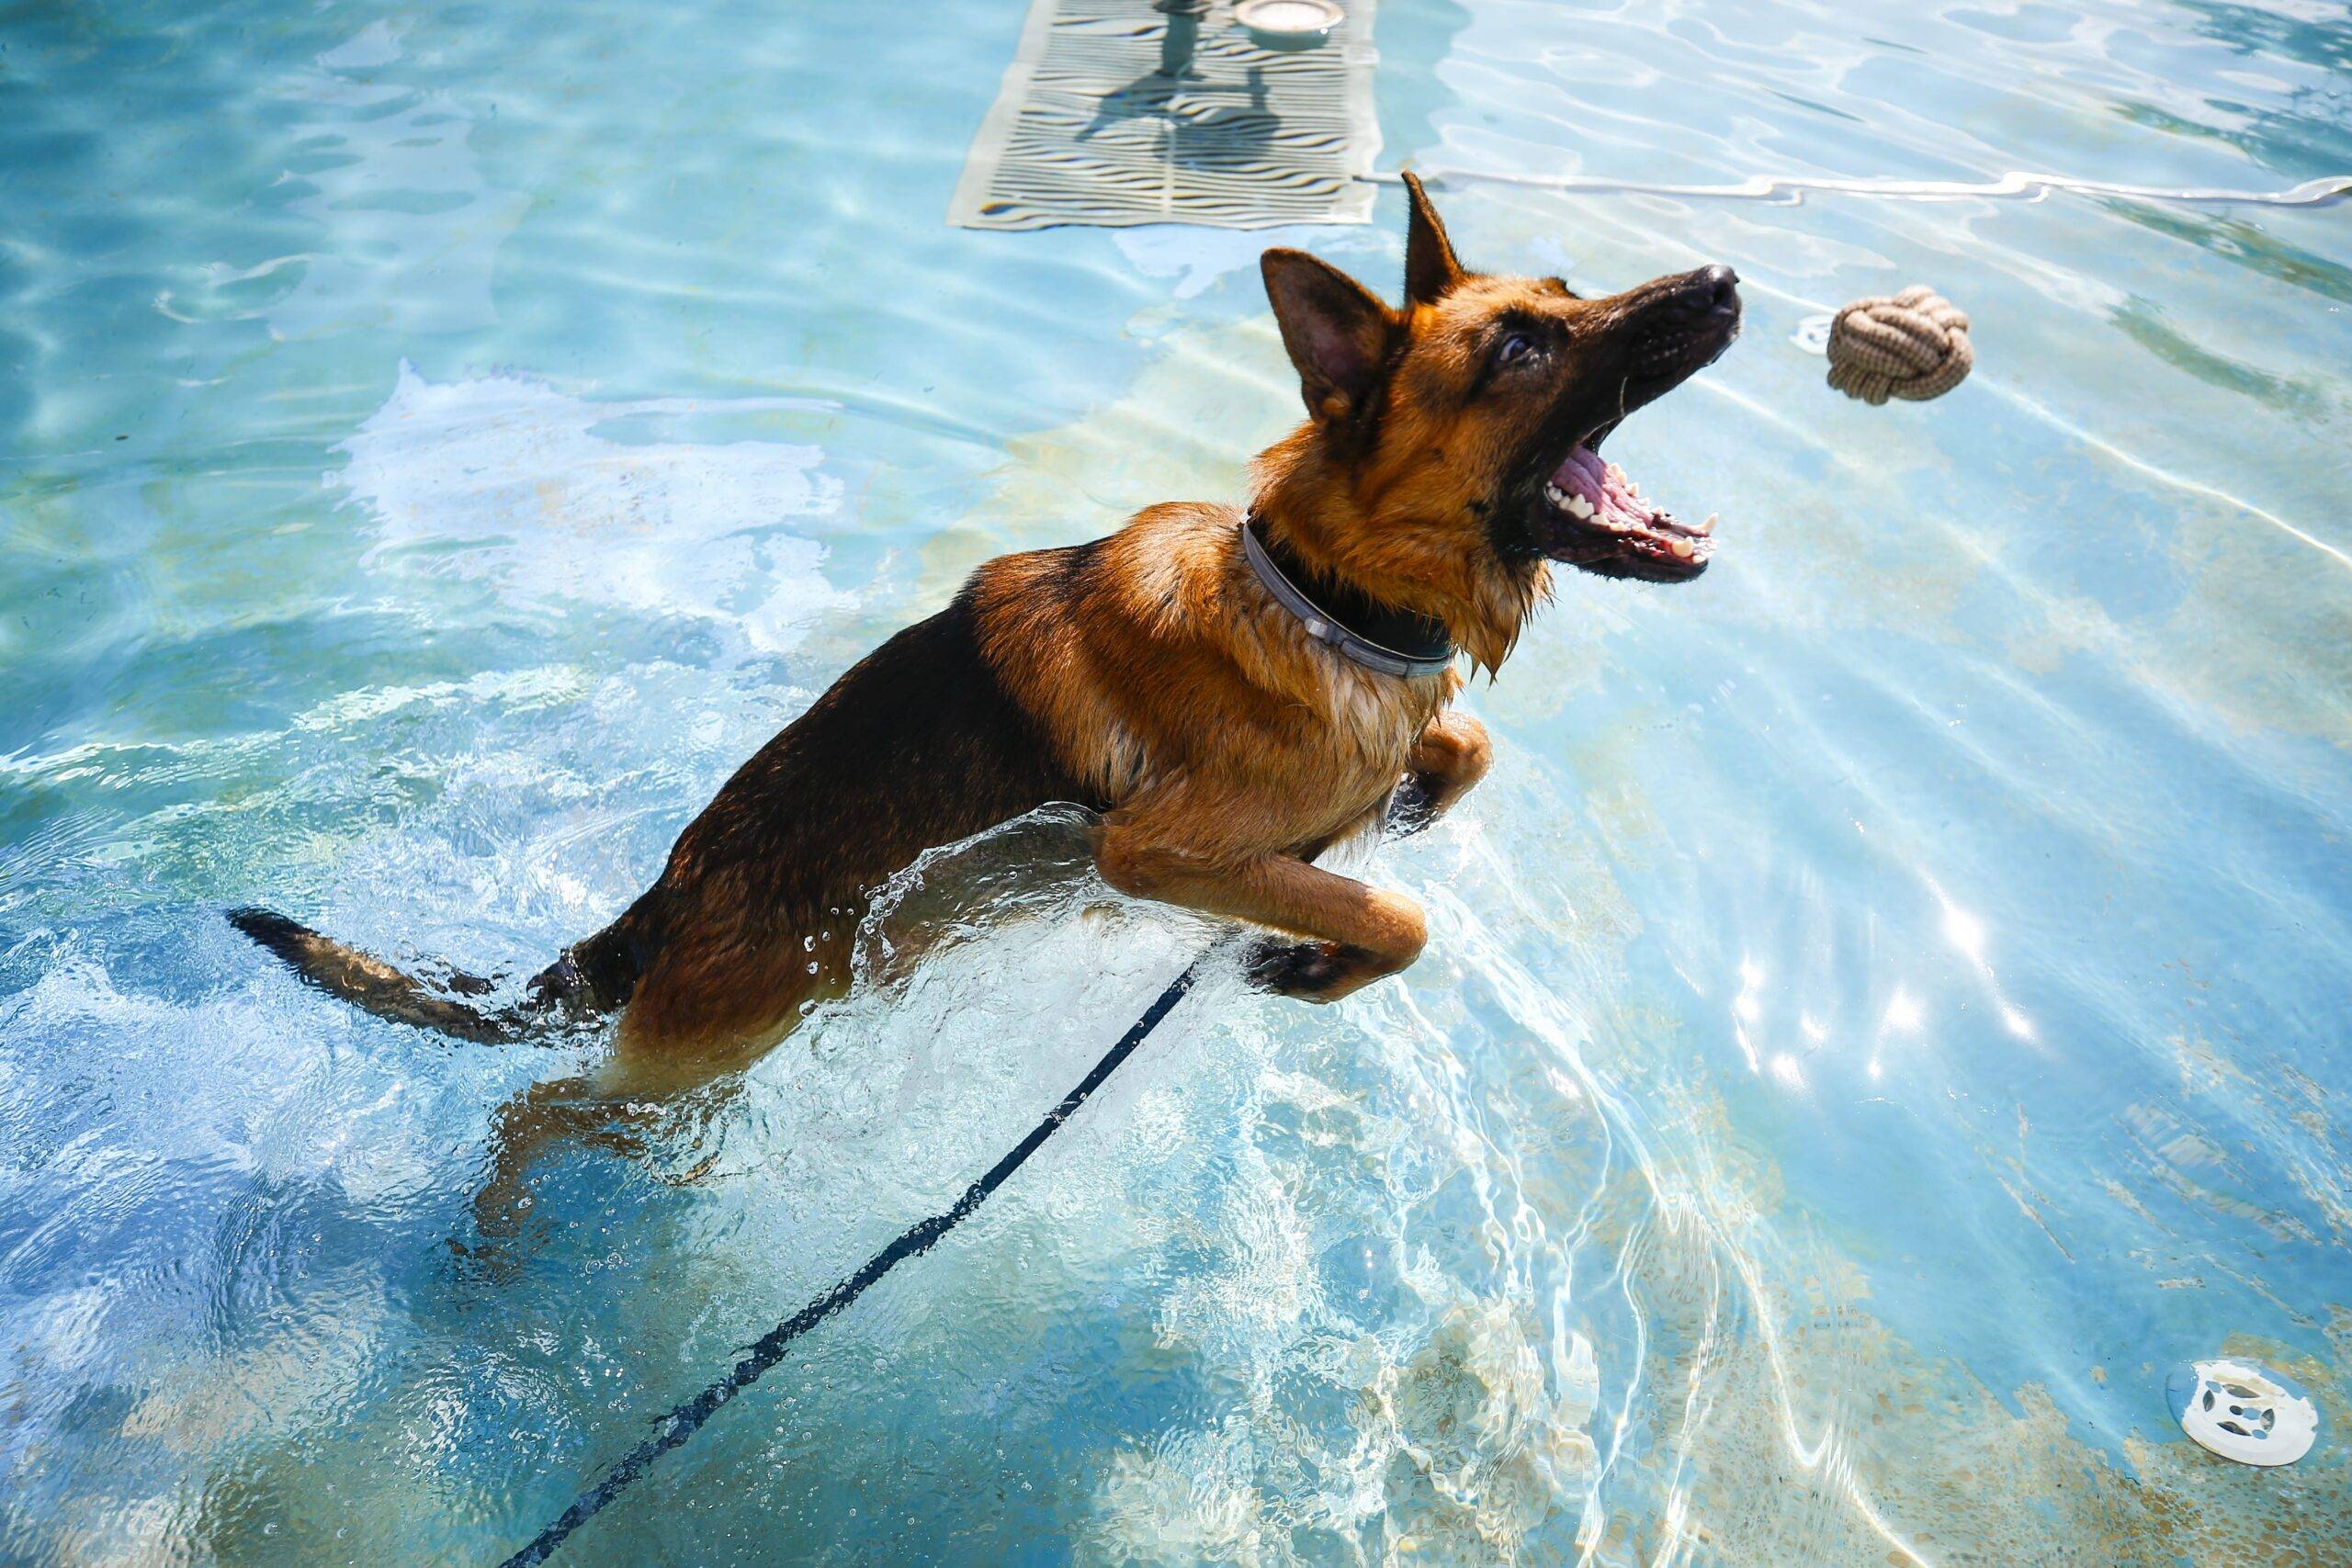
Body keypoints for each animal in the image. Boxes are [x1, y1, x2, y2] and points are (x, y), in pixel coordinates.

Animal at [233, 177, 1749, 1222]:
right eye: (1520, 349)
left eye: (1568, 287)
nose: (1729, 277)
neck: (1327, 593)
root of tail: (674, 890)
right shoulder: (1156, 850)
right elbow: (1397, 912)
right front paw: (1322, 955)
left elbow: (1461, 752)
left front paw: (1416, 800)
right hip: (708, 1047)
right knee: (544, 1106)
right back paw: (490, 1230)